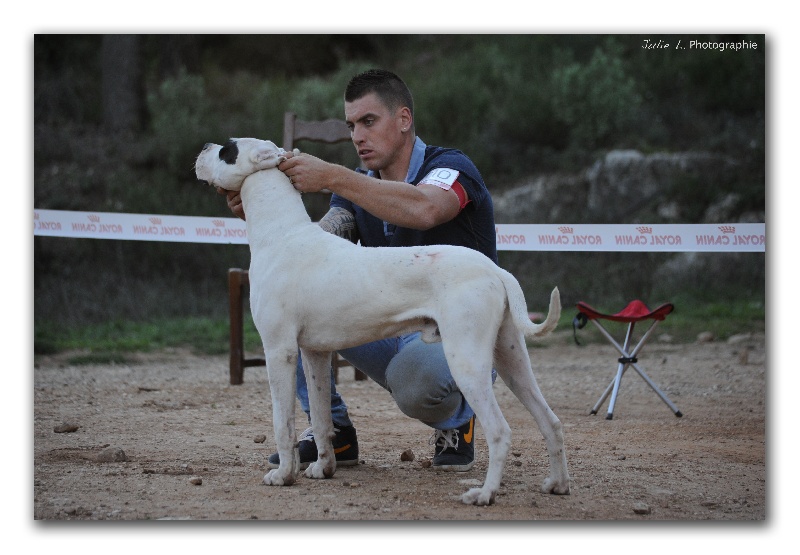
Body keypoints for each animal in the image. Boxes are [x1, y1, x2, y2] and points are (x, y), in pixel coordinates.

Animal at [194, 138, 568, 504]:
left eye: (227, 150)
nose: (204, 148)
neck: (282, 235)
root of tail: (495, 270)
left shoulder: (278, 350)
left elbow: (281, 421)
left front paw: (284, 474)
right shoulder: (314, 354)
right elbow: (321, 415)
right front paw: (323, 467)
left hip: (467, 361)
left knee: (500, 430)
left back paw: (485, 493)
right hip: (510, 358)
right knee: (550, 420)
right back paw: (557, 484)